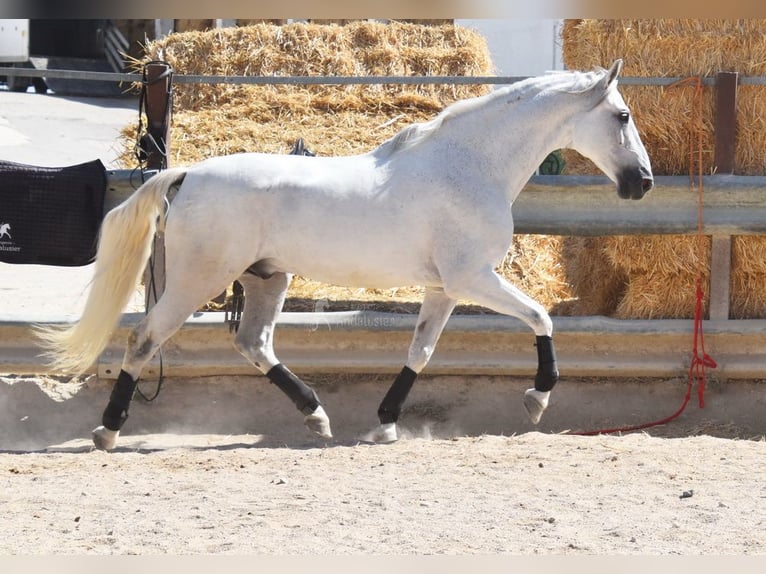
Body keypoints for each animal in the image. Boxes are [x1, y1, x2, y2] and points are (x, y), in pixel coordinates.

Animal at [37, 59, 653, 450]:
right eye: (622, 116)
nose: (643, 183)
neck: (469, 166)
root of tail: (187, 174)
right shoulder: (472, 279)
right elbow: (542, 317)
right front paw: (536, 400)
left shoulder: (443, 289)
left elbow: (421, 352)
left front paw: (384, 424)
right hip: (198, 280)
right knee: (144, 341)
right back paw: (108, 431)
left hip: (267, 279)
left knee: (253, 343)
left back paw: (317, 417)